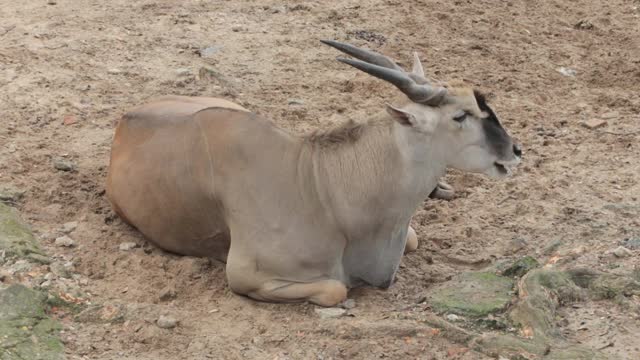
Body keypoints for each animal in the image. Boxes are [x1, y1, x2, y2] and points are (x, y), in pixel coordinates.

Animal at [107, 41, 524, 306]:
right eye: (461, 115)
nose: (515, 151)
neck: (322, 186)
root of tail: (127, 120)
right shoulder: (247, 277)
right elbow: (336, 289)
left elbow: (414, 239)